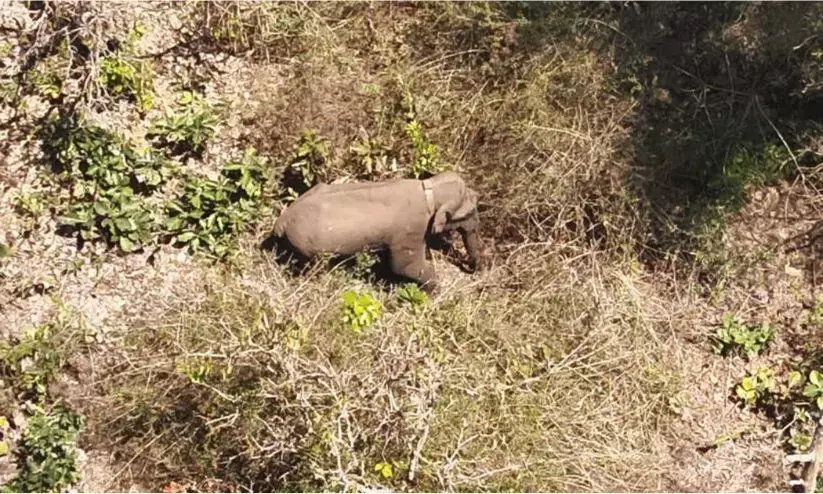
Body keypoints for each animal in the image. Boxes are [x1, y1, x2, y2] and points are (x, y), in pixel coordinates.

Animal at [266, 171, 484, 293]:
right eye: (470, 211)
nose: (475, 269)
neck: (429, 188)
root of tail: (281, 221)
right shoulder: (410, 230)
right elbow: (403, 266)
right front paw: (435, 290)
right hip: (307, 248)